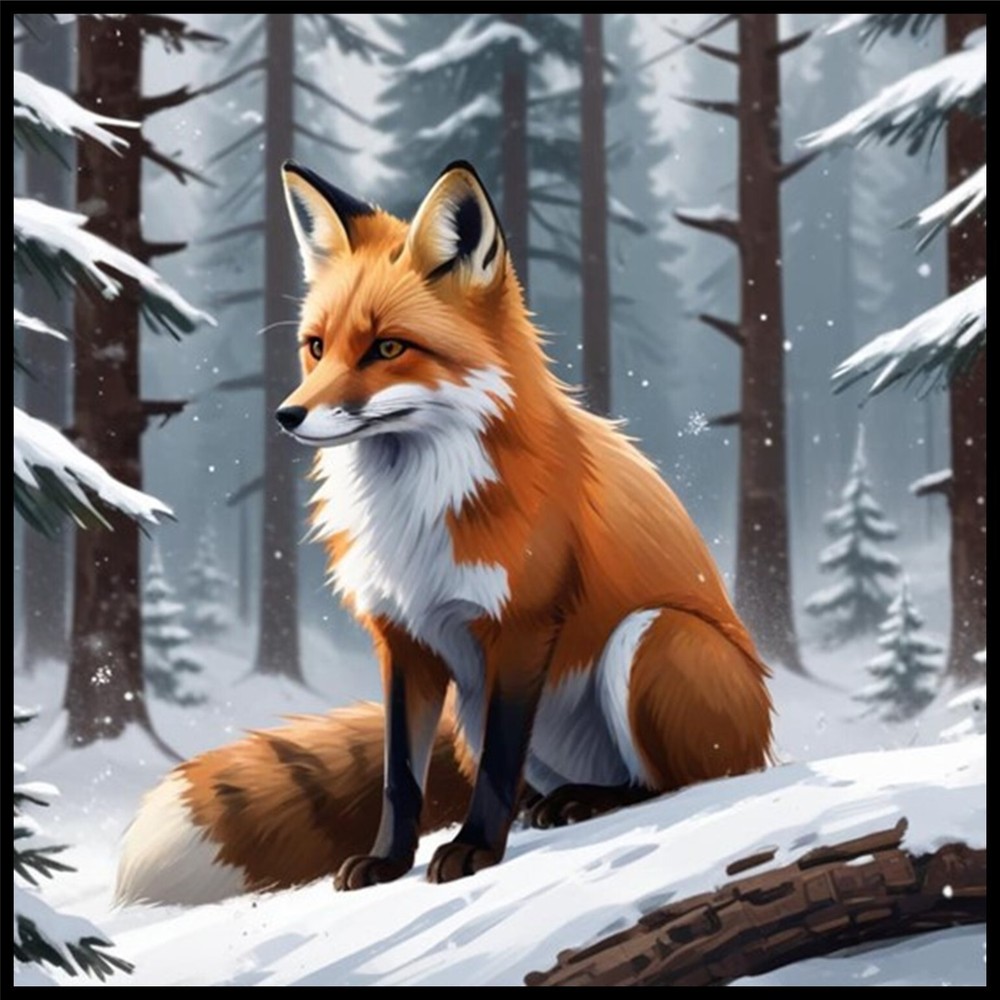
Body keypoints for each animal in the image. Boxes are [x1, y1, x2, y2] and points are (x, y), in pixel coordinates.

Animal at [116, 161, 772, 905]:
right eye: (317, 347)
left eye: (388, 348)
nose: (287, 416)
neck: (415, 515)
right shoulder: (402, 637)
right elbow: (400, 778)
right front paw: (387, 861)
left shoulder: (522, 626)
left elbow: (497, 766)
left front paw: (476, 850)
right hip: (470, 705)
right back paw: (552, 804)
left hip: (651, 636)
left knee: (673, 782)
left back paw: (587, 801)